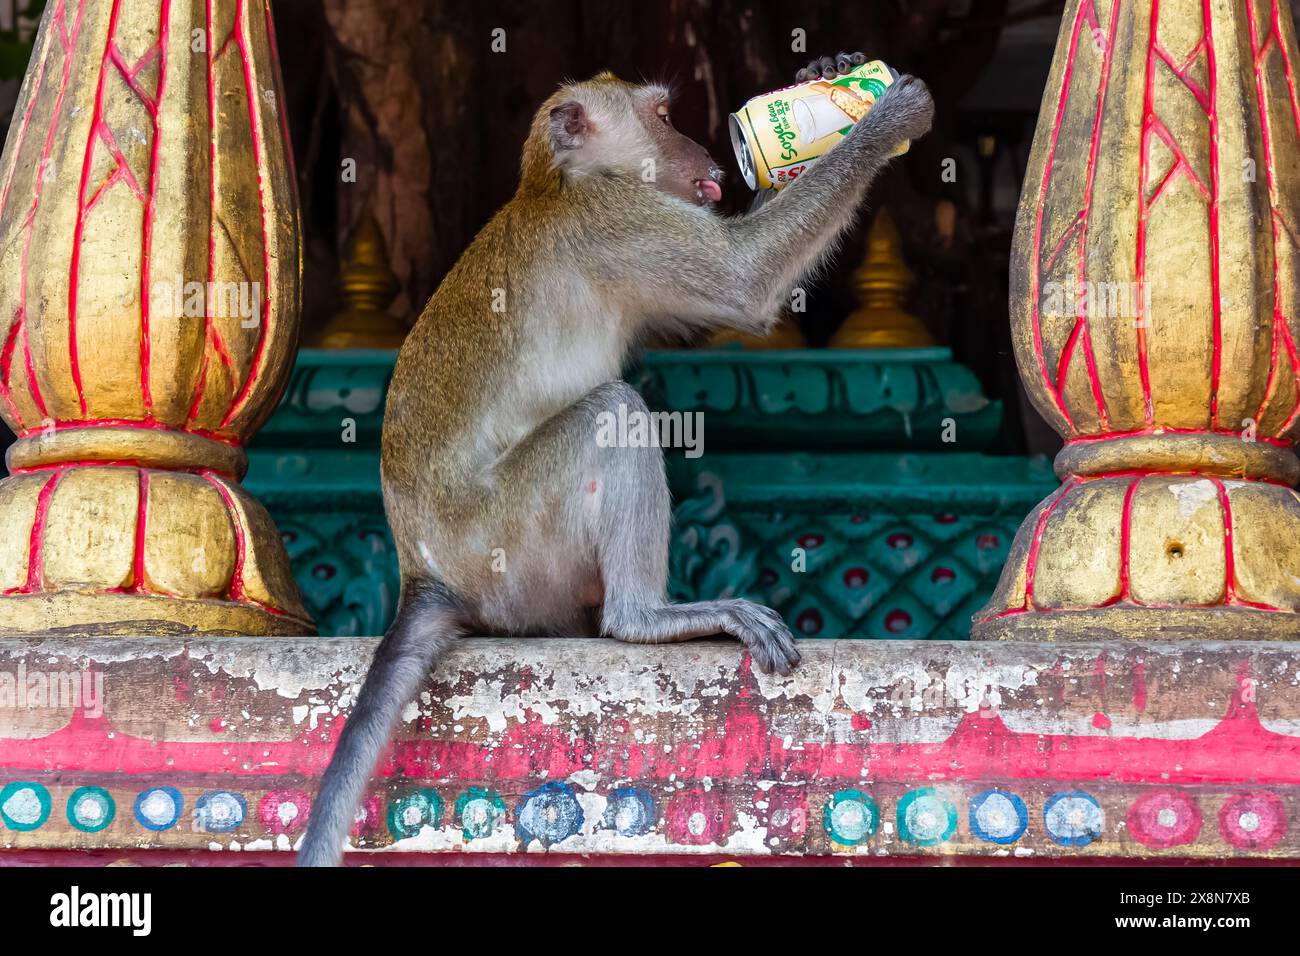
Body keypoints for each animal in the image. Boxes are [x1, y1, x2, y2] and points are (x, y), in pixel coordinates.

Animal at [298, 57, 934, 866]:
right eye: (662, 118)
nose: (711, 156)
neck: (559, 182)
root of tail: (426, 573)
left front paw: (827, 82)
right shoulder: (615, 221)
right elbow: (745, 281)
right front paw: (882, 118)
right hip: (508, 543)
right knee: (614, 412)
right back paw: (644, 617)